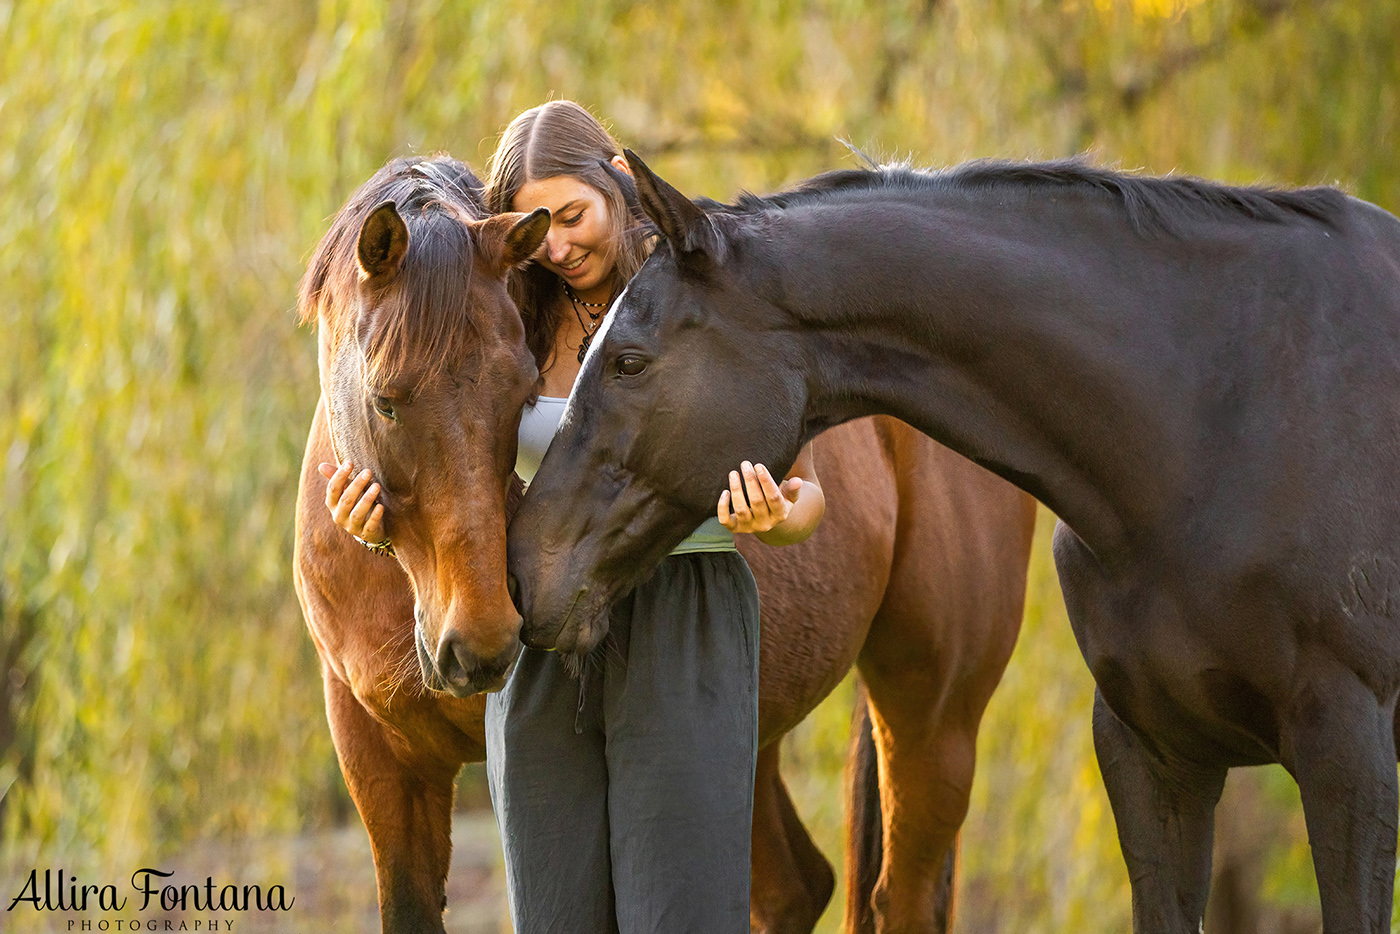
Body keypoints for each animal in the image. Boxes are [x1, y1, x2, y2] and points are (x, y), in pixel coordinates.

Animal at [292, 156, 1041, 934]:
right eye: (384, 400)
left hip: (931, 718)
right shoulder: (383, 772)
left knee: (901, 894)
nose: (484, 640)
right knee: (795, 887)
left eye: (521, 390)